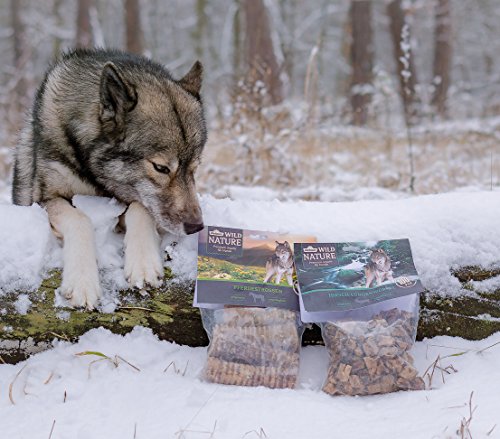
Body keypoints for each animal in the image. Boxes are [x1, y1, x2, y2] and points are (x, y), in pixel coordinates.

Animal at [11, 49, 207, 310]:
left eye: (194, 168)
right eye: (161, 168)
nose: (197, 227)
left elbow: (140, 207)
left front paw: (143, 263)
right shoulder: (44, 199)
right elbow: (79, 219)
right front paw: (82, 282)